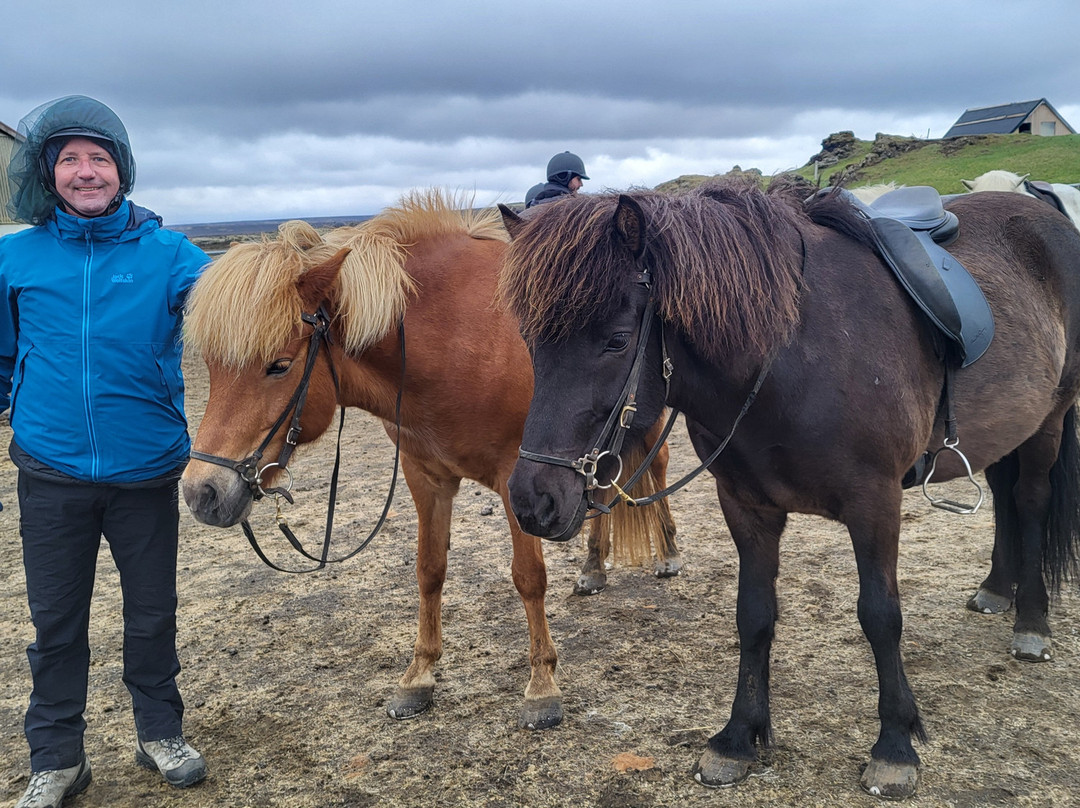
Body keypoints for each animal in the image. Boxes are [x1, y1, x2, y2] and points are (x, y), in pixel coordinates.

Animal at [179, 189, 680, 732]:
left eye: (279, 366)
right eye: (211, 367)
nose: (201, 492)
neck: (457, 340)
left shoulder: (519, 480)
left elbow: (529, 578)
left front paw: (541, 685)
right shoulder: (427, 478)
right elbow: (429, 570)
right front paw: (419, 675)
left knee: (656, 466)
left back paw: (668, 553)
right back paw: (592, 566)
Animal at [495, 177, 1080, 798]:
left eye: (617, 340)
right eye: (529, 340)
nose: (533, 501)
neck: (792, 355)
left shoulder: (876, 503)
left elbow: (880, 616)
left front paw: (895, 745)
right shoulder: (746, 506)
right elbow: (753, 615)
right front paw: (737, 737)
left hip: (1049, 420)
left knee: (1030, 502)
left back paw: (1031, 623)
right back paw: (996, 589)